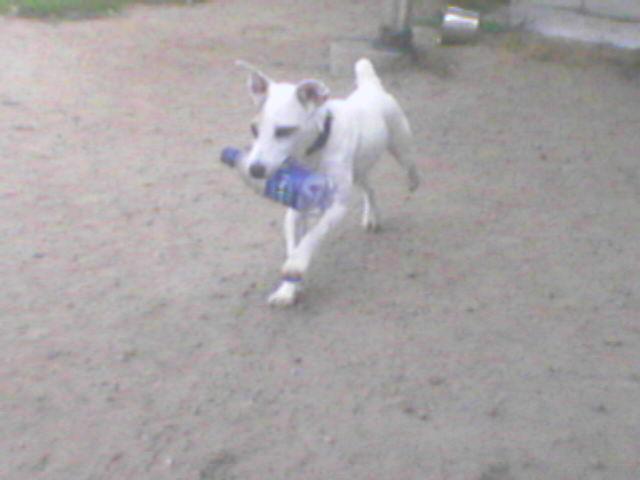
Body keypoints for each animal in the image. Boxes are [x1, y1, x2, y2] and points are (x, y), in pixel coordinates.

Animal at [236, 58, 420, 306]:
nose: (254, 169)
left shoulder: (337, 205)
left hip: (400, 146)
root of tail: (370, 87)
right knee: (370, 190)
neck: (315, 149)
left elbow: (312, 236)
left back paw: (413, 181)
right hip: (358, 170)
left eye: (284, 131)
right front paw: (287, 289)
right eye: (254, 129)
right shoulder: (296, 209)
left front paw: (296, 265)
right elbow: (294, 245)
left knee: (409, 164)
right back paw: (372, 216)